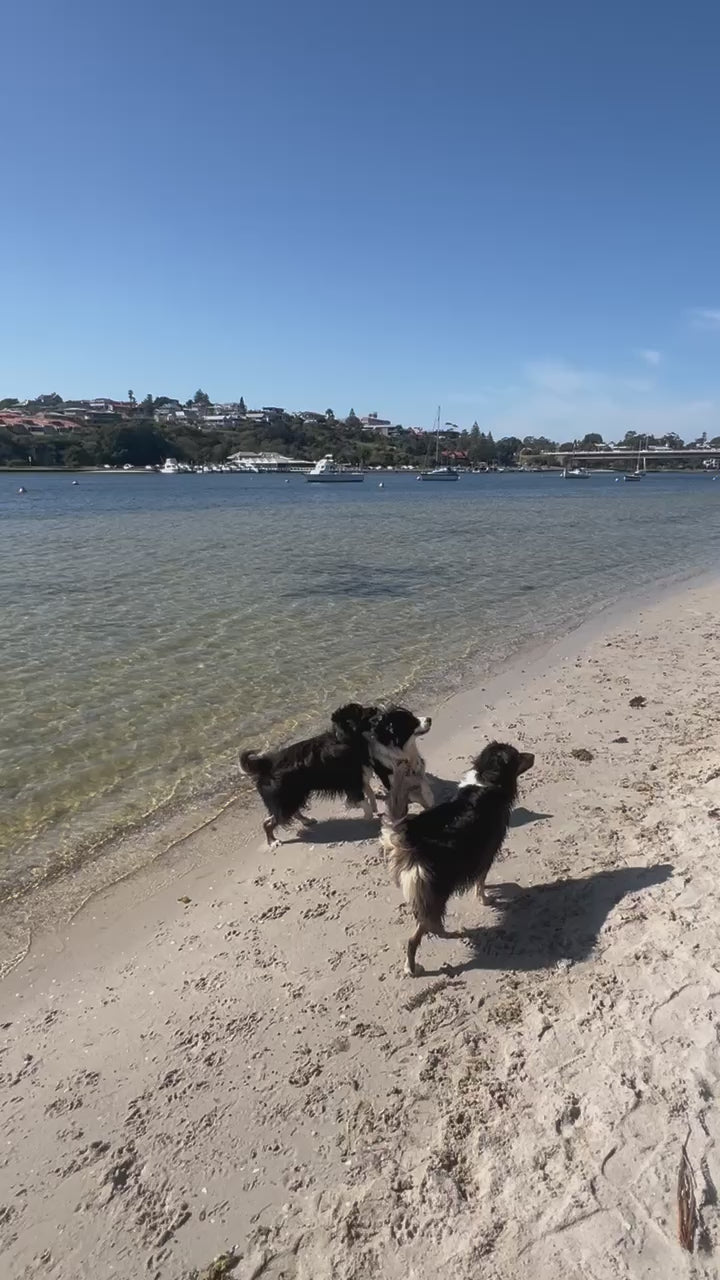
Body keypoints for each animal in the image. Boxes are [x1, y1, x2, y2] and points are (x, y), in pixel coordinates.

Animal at [381, 737, 532, 972]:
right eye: (517, 757)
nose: (533, 755)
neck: (486, 779)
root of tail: (408, 836)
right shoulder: (487, 850)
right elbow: (481, 879)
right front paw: (485, 898)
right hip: (436, 892)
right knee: (419, 934)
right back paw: (415, 965)